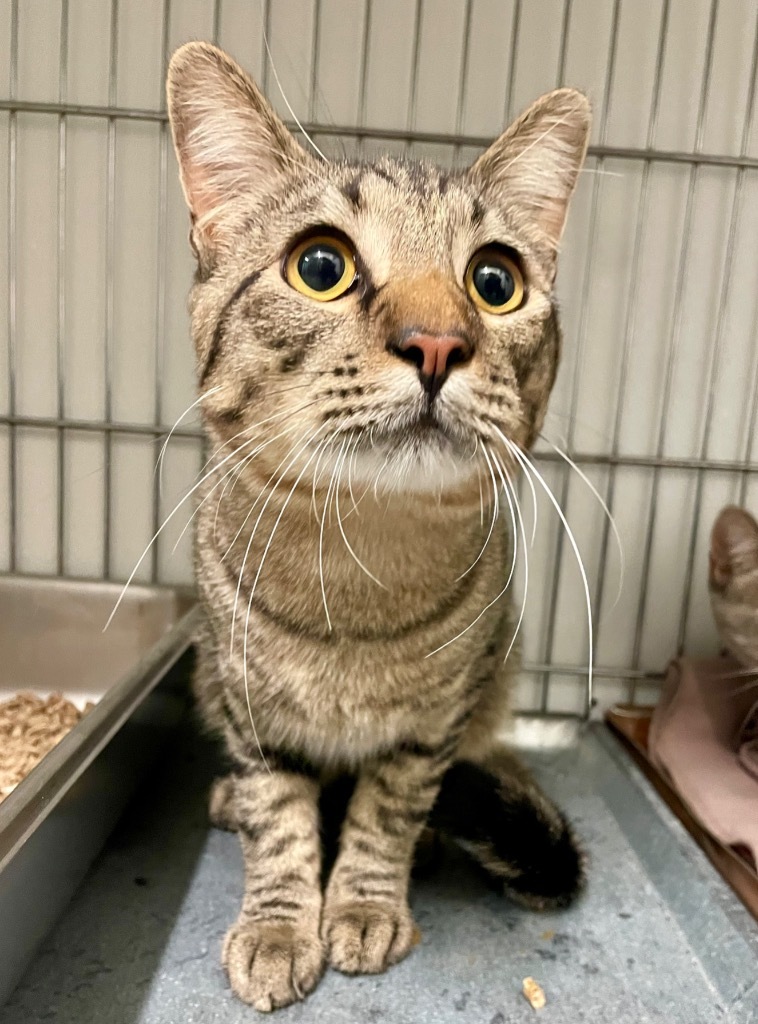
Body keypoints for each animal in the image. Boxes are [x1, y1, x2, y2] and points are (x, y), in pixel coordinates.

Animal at [165, 44, 594, 1011]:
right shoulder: (248, 707)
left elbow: (386, 813)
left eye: (495, 282)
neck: (360, 569)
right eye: (320, 266)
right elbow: (281, 820)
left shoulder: (434, 725)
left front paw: (362, 904)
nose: (436, 342)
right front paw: (280, 925)